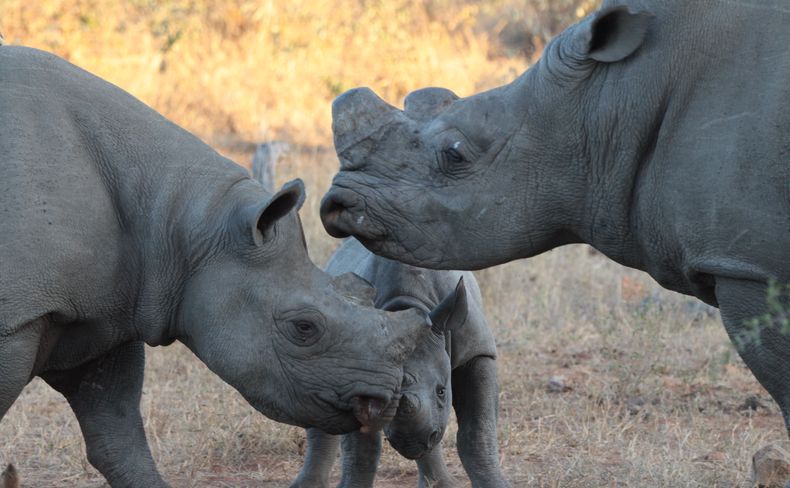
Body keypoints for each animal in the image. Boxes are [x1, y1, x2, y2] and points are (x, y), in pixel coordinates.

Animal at [0, 46, 439, 488]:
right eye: (304, 328)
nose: (383, 400)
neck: (188, 226)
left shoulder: (107, 312)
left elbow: (118, 440)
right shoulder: (16, 318)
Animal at [252, 145, 506, 488]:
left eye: (442, 391)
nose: (412, 442)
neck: (409, 303)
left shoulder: (476, 349)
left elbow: (477, 434)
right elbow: (362, 445)